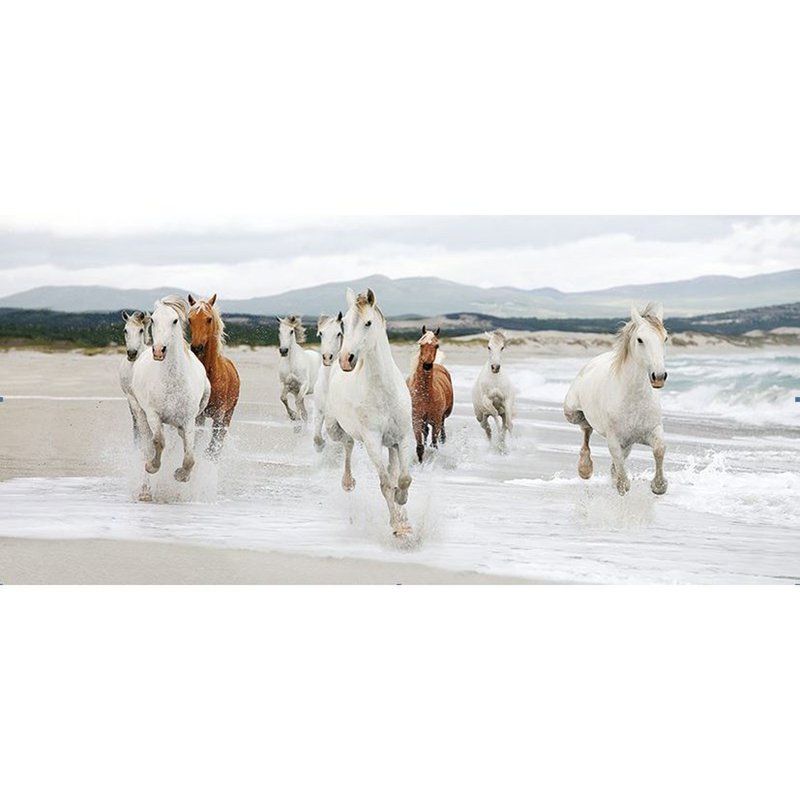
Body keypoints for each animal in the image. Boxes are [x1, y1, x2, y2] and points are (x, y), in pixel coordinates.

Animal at [131, 296, 211, 485]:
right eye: (153, 320)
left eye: (175, 321)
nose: (159, 350)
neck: (173, 381)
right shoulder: (153, 415)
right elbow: (159, 441)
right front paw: (152, 466)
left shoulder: (189, 420)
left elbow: (190, 456)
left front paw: (181, 475)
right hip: (139, 411)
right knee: (147, 440)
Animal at [187, 293, 241, 456]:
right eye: (189, 319)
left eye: (209, 319)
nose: (196, 347)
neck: (211, 375)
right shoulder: (198, 415)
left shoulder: (219, 415)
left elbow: (213, 446)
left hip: (228, 414)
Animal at [325, 288, 414, 537]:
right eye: (343, 324)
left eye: (368, 322)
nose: (346, 359)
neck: (384, 391)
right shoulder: (373, 440)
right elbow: (385, 485)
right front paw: (398, 527)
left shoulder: (403, 437)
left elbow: (403, 478)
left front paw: (402, 506)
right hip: (335, 428)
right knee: (347, 444)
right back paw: (347, 482)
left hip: (392, 444)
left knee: (394, 469)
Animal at [407, 326, 454, 462]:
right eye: (421, 344)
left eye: (437, 345)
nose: (427, 365)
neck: (425, 395)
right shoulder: (416, 421)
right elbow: (420, 447)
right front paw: (421, 462)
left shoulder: (436, 421)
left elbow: (434, 445)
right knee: (426, 432)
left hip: (443, 416)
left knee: (441, 430)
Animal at [564, 303, 669, 496]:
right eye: (640, 340)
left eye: (665, 338)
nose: (658, 377)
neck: (633, 399)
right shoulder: (614, 438)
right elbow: (618, 462)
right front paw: (621, 484)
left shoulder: (653, 430)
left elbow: (659, 450)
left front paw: (659, 486)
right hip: (572, 413)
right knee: (586, 428)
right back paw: (585, 468)